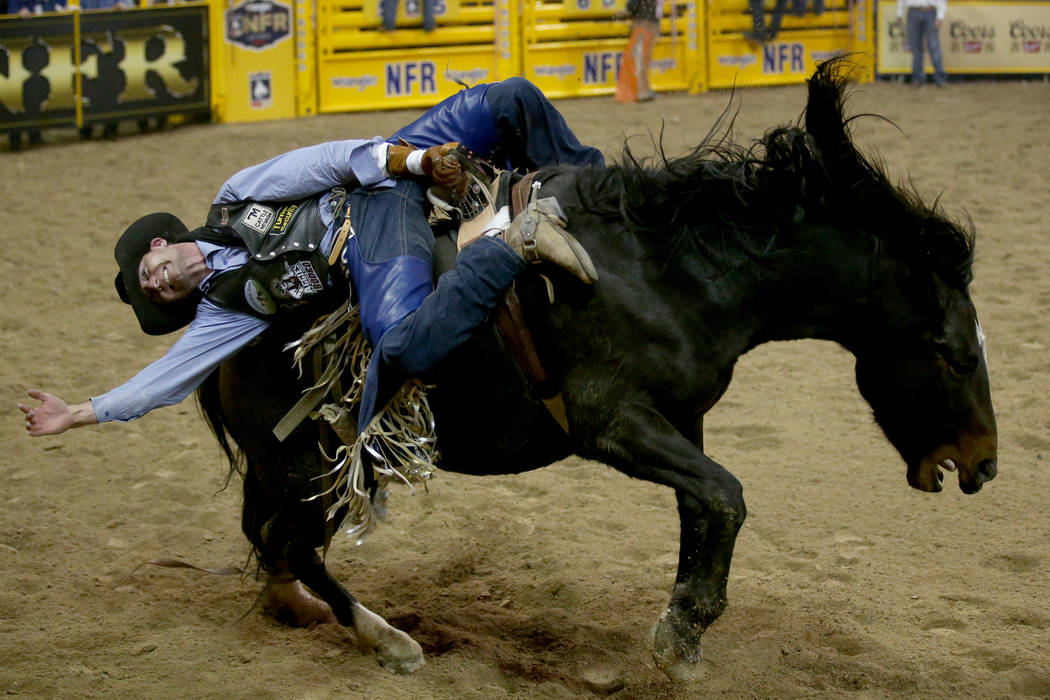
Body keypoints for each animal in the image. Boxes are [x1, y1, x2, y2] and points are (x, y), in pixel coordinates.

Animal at [195, 60, 991, 680]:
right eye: (954, 354)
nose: (983, 464)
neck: (672, 271)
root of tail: (222, 305)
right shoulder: (611, 421)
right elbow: (727, 496)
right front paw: (680, 632)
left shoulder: (683, 419)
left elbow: (705, 508)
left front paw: (685, 632)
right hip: (310, 464)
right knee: (290, 542)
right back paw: (387, 640)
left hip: (296, 471)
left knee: (272, 540)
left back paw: (294, 608)